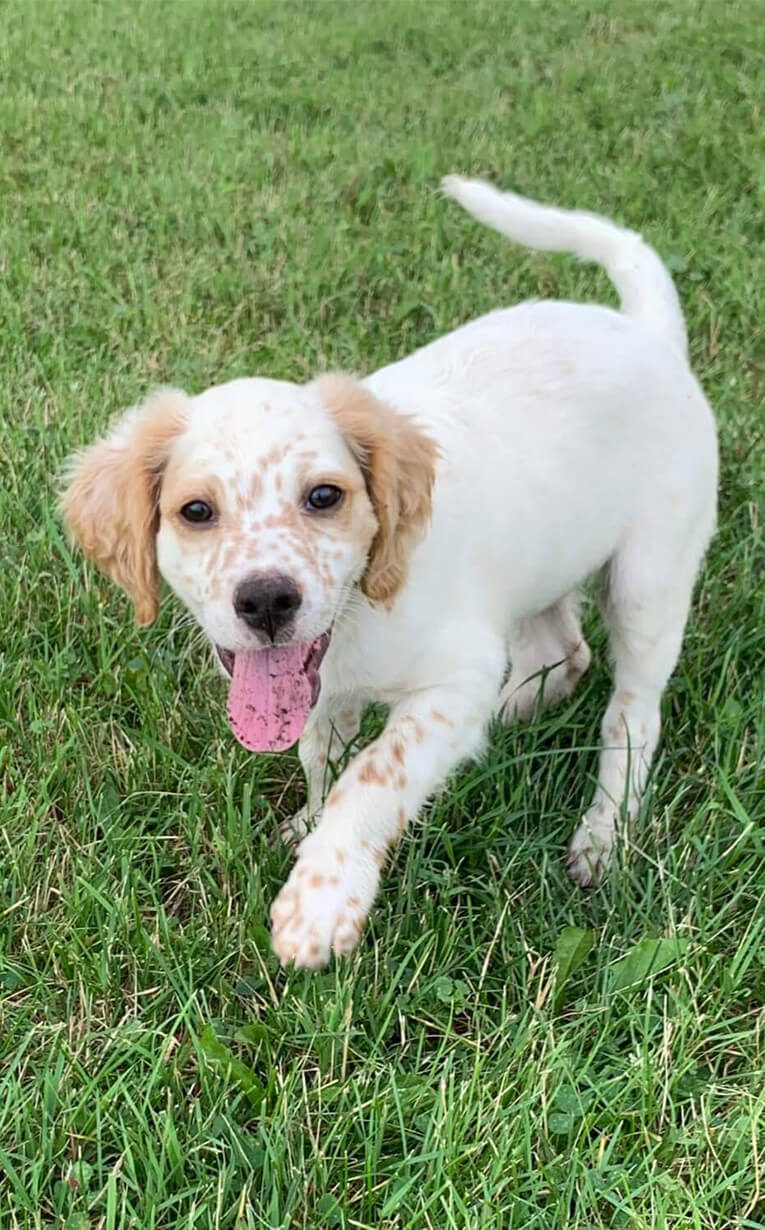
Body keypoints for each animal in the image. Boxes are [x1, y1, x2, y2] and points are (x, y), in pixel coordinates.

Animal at [64, 178, 718, 964]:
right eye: (196, 511)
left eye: (324, 497)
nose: (267, 601)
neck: (356, 618)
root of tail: (650, 335)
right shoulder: (325, 688)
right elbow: (324, 757)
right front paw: (309, 826)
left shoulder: (456, 672)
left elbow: (373, 773)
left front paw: (320, 900)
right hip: (539, 560)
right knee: (561, 653)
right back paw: (501, 730)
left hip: (648, 578)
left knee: (631, 715)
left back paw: (603, 836)